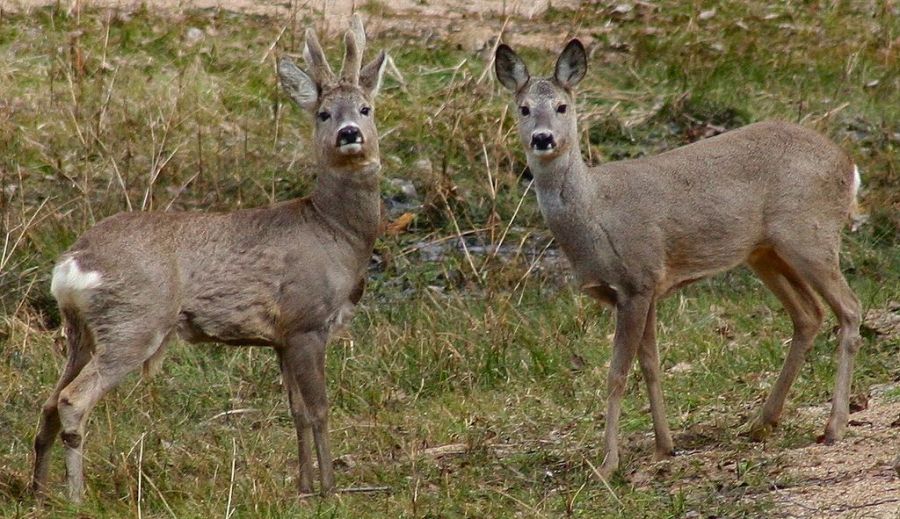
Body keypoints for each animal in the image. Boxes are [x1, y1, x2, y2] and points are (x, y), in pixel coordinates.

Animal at [31, 15, 388, 502]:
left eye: (366, 109)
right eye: (323, 113)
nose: (349, 134)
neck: (335, 232)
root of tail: (72, 263)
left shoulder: (281, 337)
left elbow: (295, 411)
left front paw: (303, 486)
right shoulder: (306, 322)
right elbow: (319, 409)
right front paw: (329, 491)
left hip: (81, 331)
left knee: (49, 400)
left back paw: (37, 492)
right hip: (134, 321)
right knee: (72, 399)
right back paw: (76, 497)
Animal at [495, 39, 862, 478]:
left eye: (562, 106)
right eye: (523, 108)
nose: (543, 138)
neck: (595, 214)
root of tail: (849, 165)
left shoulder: (637, 279)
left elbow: (617, 374)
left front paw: (608, 463)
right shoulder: (647, 287)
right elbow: (650, 364)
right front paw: (663, 446)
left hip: (811, 235)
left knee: (849, 309)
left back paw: (833, 426)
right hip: (765, 252)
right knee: (809, 314)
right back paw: (761, 423)